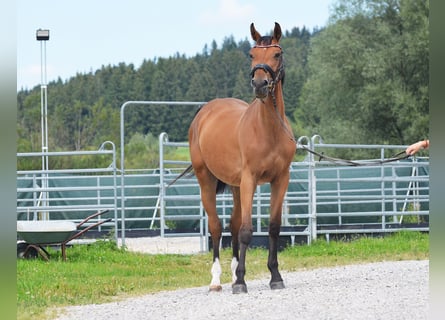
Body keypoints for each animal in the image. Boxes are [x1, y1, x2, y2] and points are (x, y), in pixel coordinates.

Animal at [187, 21, 294, 292]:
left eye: (276, 54)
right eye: (251, 54)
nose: (260, 84)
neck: (269, 129)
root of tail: (205, 112)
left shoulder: (281, 179)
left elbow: (273, 228)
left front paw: (275, 277)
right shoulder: (250, 179)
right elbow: (246, 230)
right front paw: (242, 282)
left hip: (235, 186)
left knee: (232, 225)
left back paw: (234, 273)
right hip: (207, 180)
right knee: (216, 227)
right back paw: (217, 280)